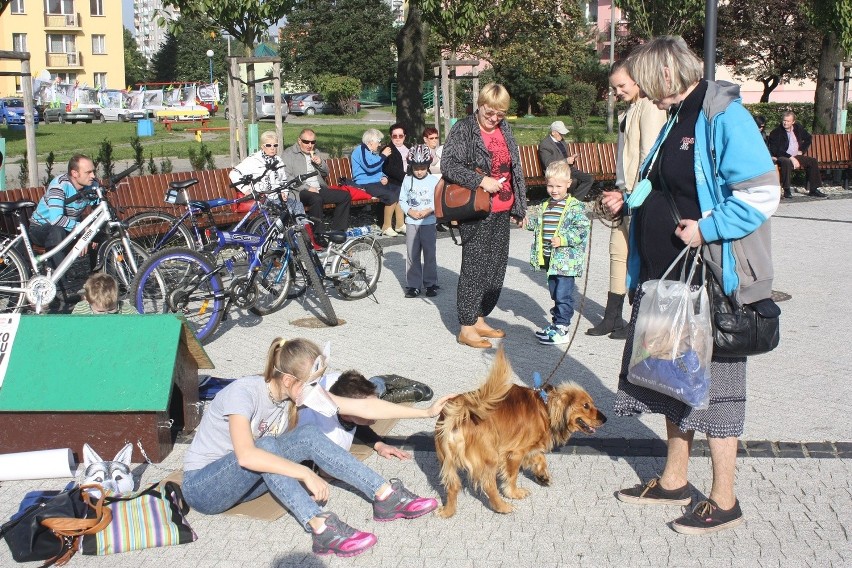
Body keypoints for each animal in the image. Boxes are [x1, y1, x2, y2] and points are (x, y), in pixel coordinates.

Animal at [432, 348, 604, 516]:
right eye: (586, 406)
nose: (605, 418)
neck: (545, 407)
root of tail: (461, 411)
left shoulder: (529, 448)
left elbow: (540, 458)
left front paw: (542, 476)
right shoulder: (515, 453)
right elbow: (513, 476)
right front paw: (514, 493)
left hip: (447, 461)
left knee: (453, 486)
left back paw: (448, 511)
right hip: (490, 457)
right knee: (488, 485)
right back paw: (502, 506)